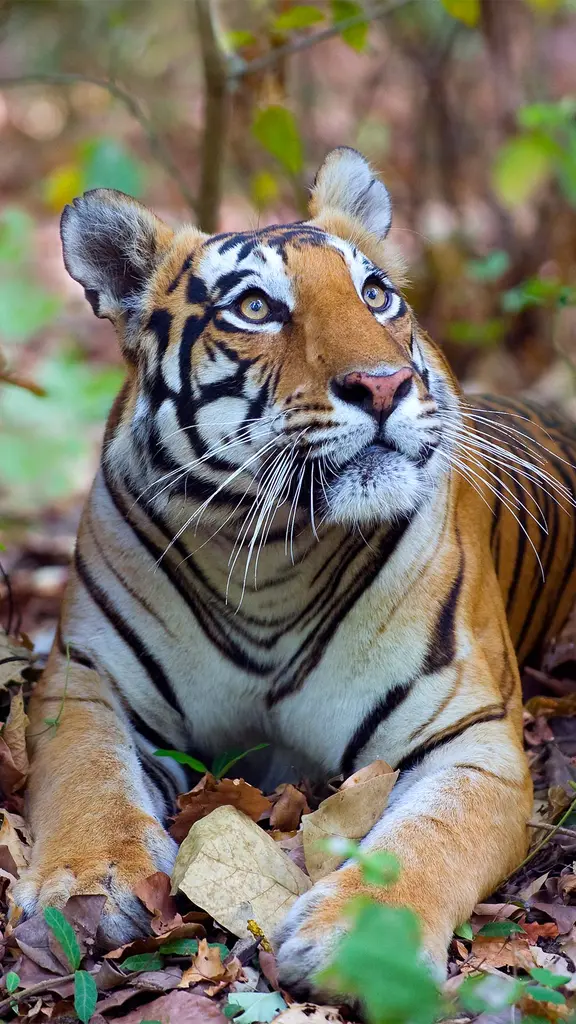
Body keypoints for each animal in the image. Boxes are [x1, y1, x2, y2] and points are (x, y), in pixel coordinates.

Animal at [14, 147, 576, 999]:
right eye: (254, 307)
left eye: (375, 294)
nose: (383, 385)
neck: (271, 557)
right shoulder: (87, 681)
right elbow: (89, 781)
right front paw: (90, 882)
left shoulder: (469, 734)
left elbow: (429, 839)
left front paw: (366, 942)